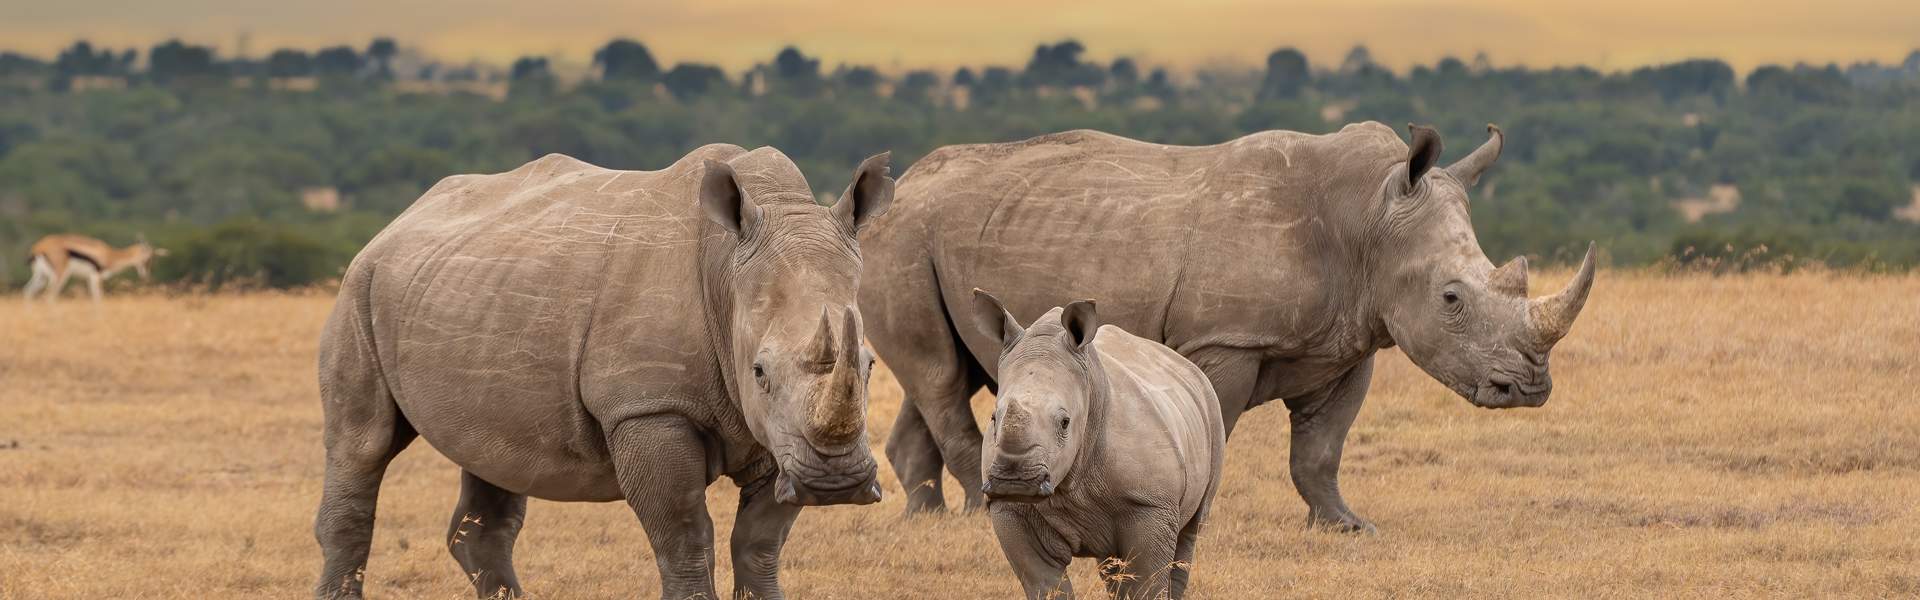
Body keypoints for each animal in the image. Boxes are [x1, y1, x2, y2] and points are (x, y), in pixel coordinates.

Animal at [313, 145, 896, 600]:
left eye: (869, 365)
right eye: (758, 372)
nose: (835, 483)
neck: (727, 271)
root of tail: (398, 219)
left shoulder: (779, 434)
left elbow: (759, 544)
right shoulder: (646, 409)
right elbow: (684, 537)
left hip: (467, 293)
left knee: (490, 458)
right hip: (359, 286)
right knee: (362, 444)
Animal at [859, 122, 1595, 531]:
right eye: (1450, 298)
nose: (1529, 389)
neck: (1367, 218)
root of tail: (895, 192)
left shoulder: (1351, 341)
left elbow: (1321, 450)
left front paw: (1347, 527)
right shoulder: (1226, 341)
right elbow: (1216, 428)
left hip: (954, 238)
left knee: (954, 371)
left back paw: (926, 519)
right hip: (903, 240)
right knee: (937, 375)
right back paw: (980, 514)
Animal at [972, 292, 1224, 600]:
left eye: (1065, 422)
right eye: (994, 418)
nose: (1015, 482)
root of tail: (1187, 366)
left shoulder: (1151, 503)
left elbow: (1147, 582)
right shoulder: (1009, 509)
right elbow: (1044, 582)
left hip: (1211, 409)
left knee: (1189, 533)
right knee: (1113, 565)